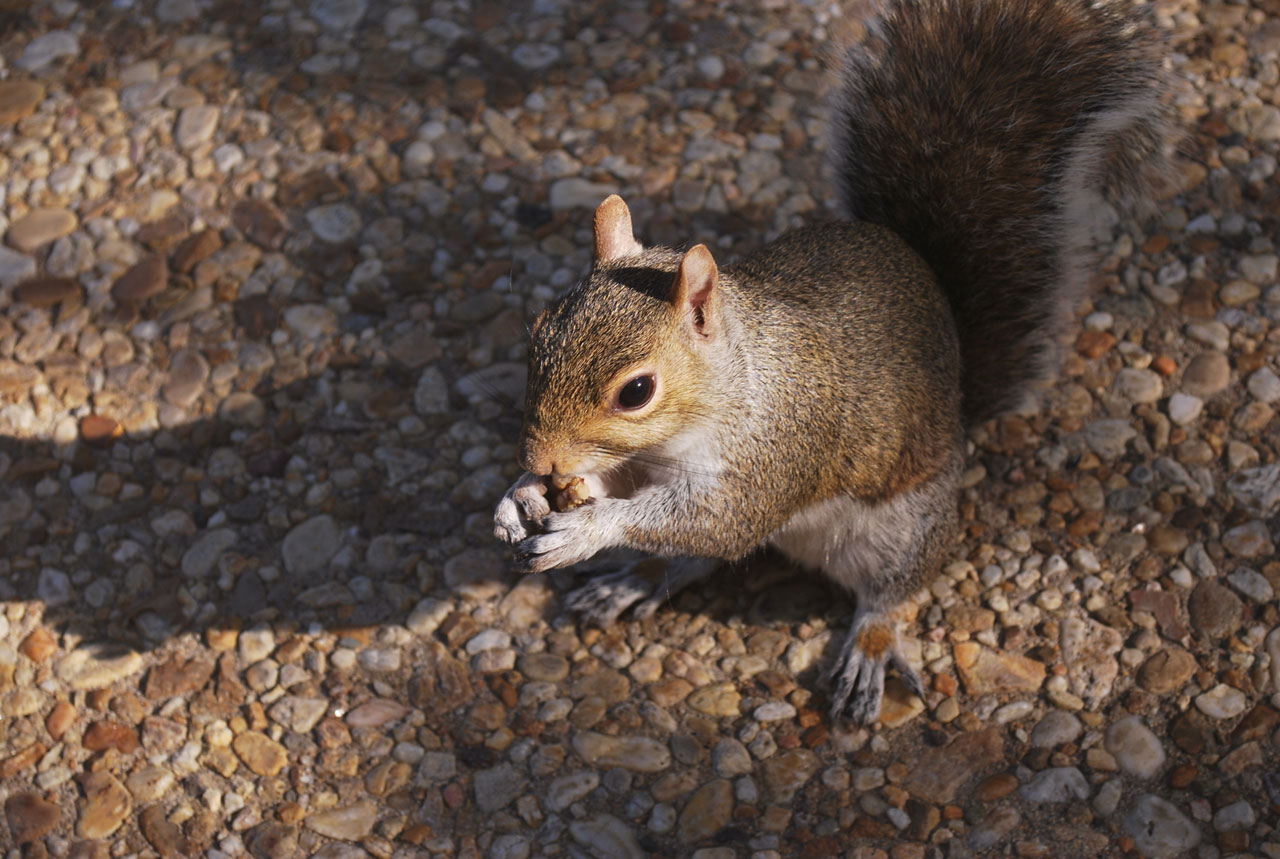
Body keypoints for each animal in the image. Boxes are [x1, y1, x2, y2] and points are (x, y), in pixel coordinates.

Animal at [494, 0, 1172, 727]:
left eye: (637, 391)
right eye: (538, 331)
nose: (539, 457)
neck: (733, 385)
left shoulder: (777, 452)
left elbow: (716, 522)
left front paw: (588, 528)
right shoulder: (637, 461)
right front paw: (520, 497)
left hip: (903, 527)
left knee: (887, 589)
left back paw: (868, 647)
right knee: (693, 561)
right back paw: (634, 581)